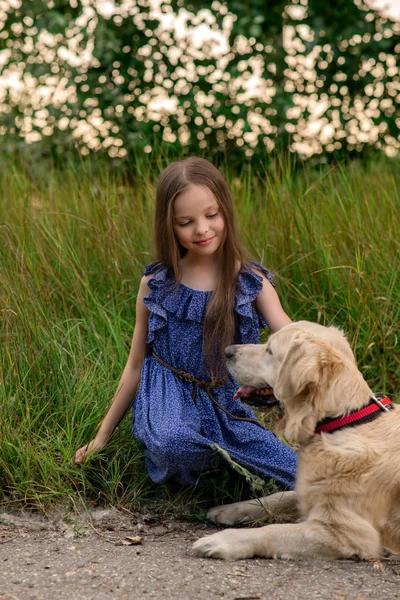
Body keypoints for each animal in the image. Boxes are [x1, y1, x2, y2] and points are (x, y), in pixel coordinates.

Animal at [192, 322, 398, 560]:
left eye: (269, 350)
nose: (227, 351)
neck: (342, 420)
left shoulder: (347, 532)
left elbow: (273, 530)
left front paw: (222, 540)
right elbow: (282, 496)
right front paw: (230, 509)